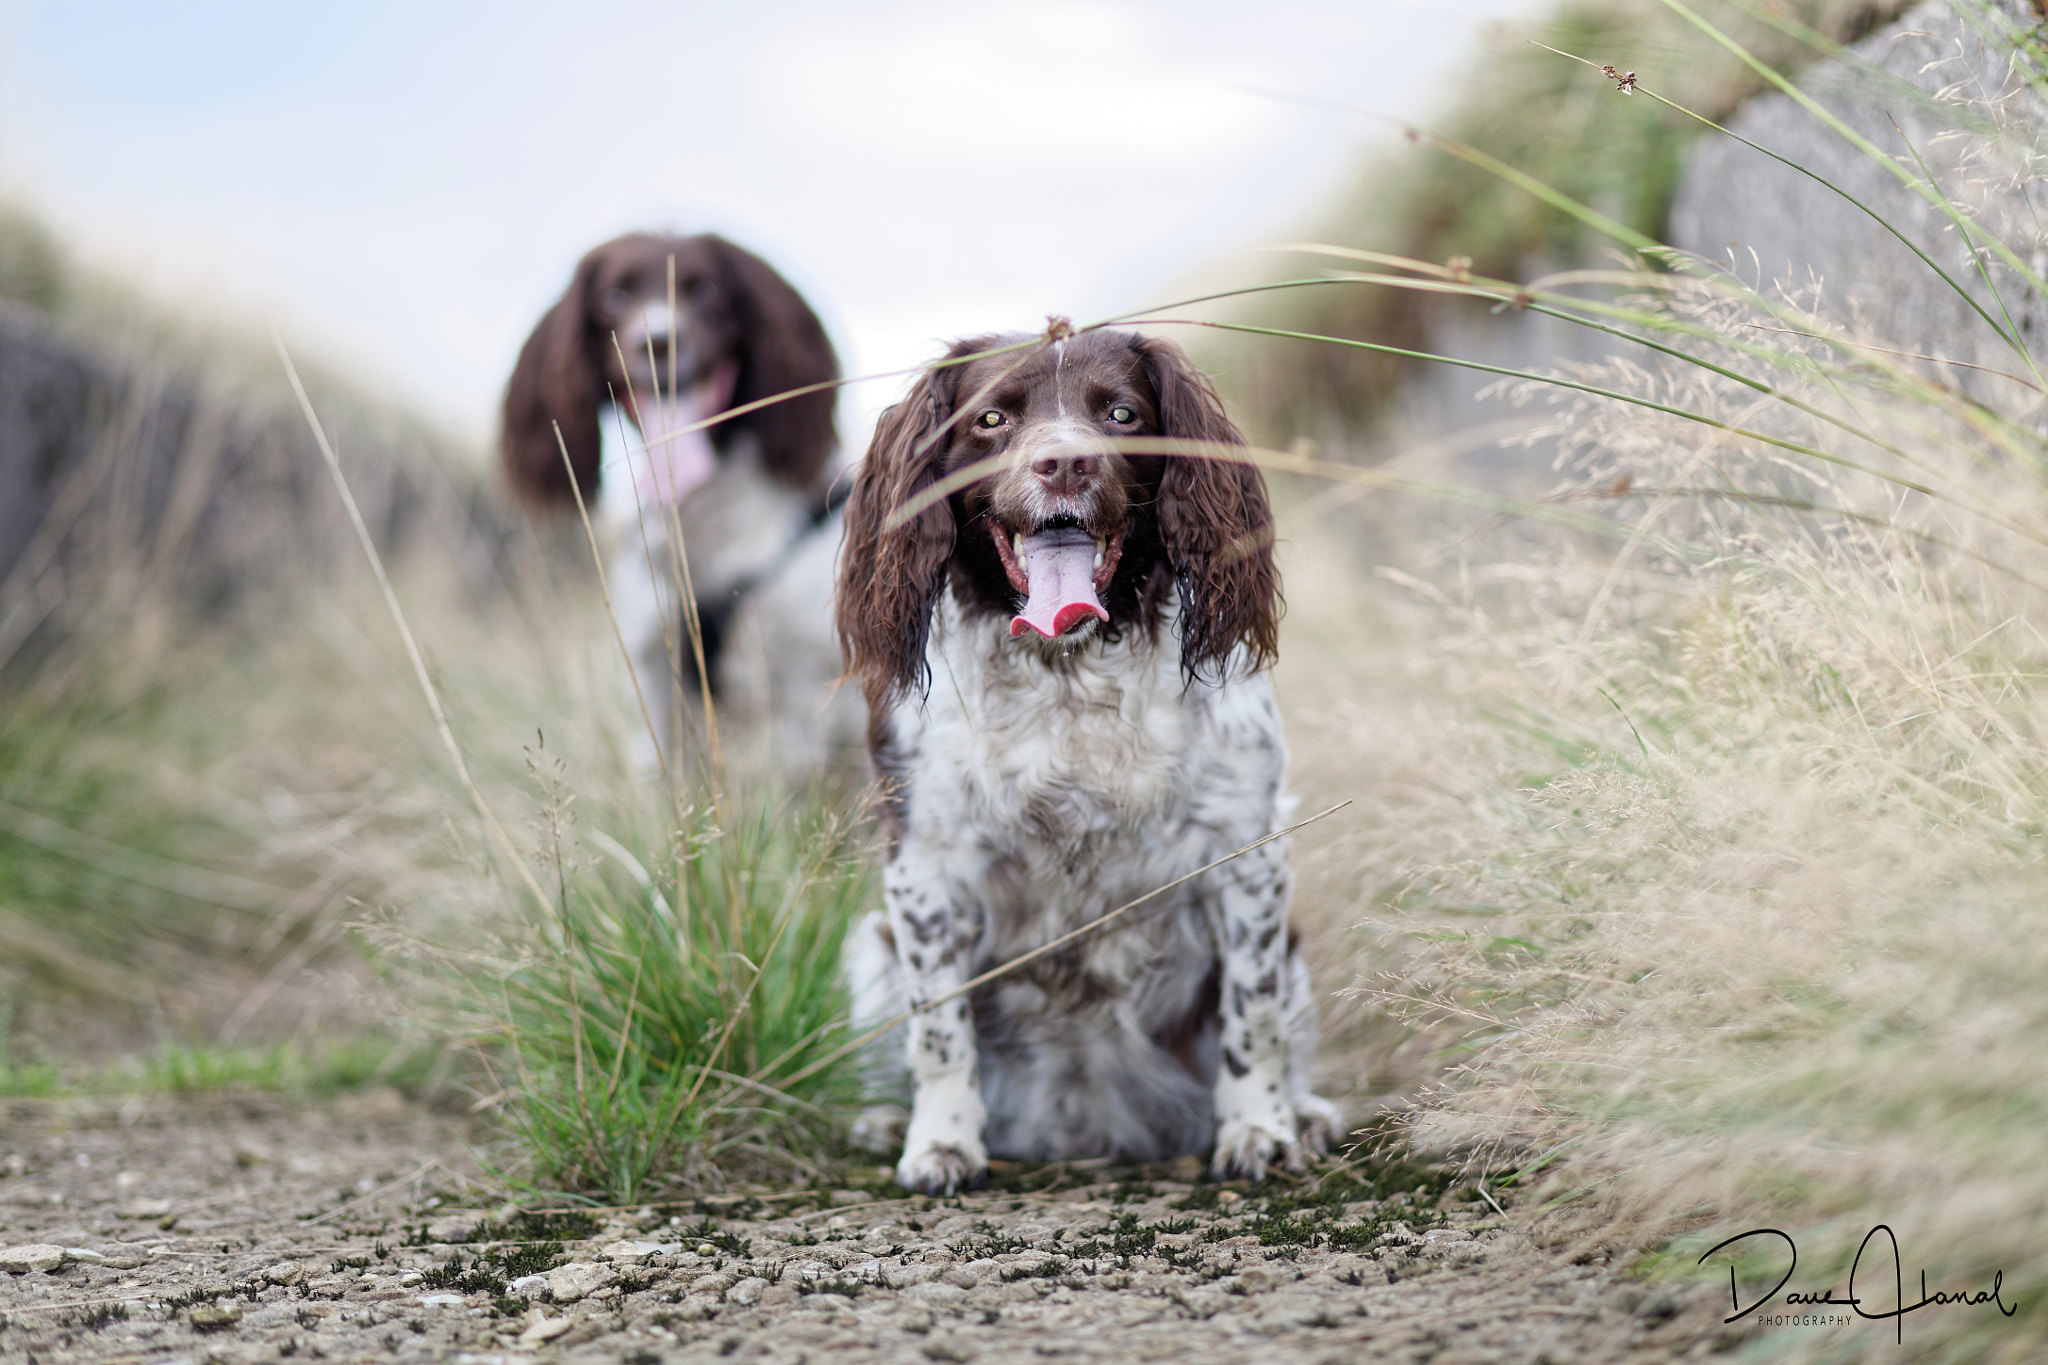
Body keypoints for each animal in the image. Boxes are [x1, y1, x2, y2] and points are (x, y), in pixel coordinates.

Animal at [835, 325, 1335, 1186]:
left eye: (1122, 413)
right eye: (992, 417)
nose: (1065, 463)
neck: (1065, 668)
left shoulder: (1247, 851)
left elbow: (1253, 1015)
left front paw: (1259, 1128)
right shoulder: (924, 862)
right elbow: (938, 1031)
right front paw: (942, 1142)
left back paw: (1304, 1114)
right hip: (870, 946)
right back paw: (884, 1120)